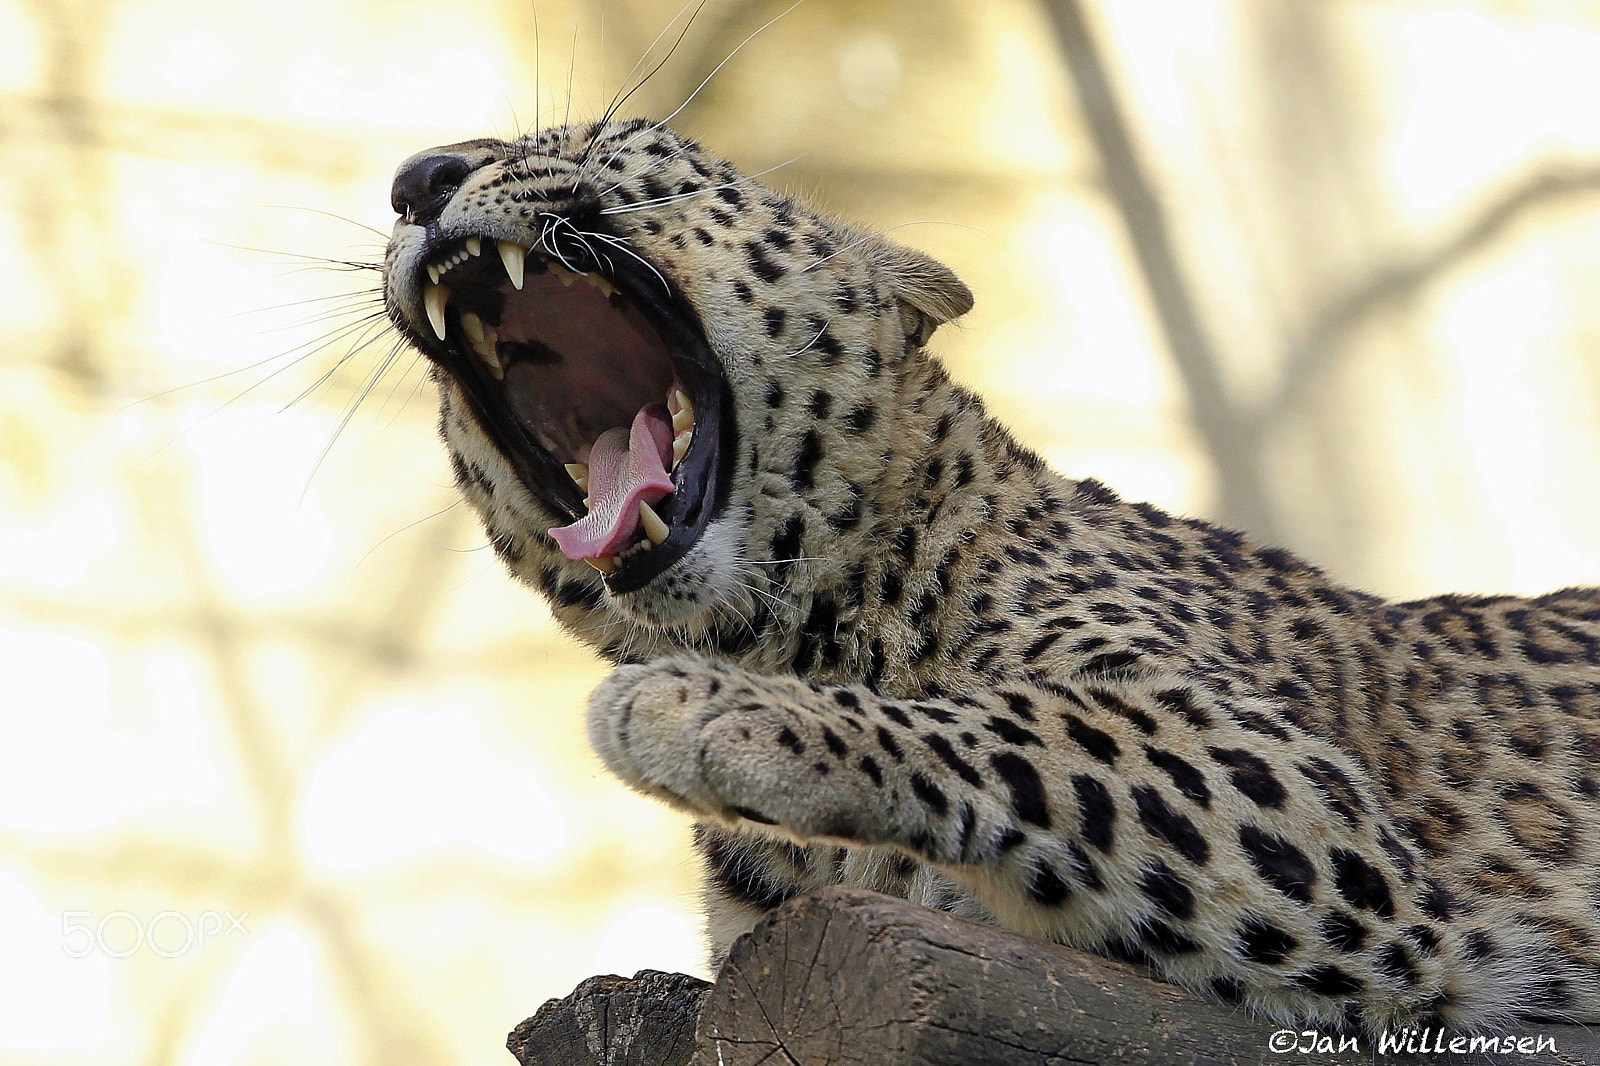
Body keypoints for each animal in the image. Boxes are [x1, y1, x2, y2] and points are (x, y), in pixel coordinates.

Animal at [377, 118, 1600, 1037]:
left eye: (595, 141)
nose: (417, 180)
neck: (789, 627)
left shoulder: (1300, 797)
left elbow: (1033, 726)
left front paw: (707, 712)